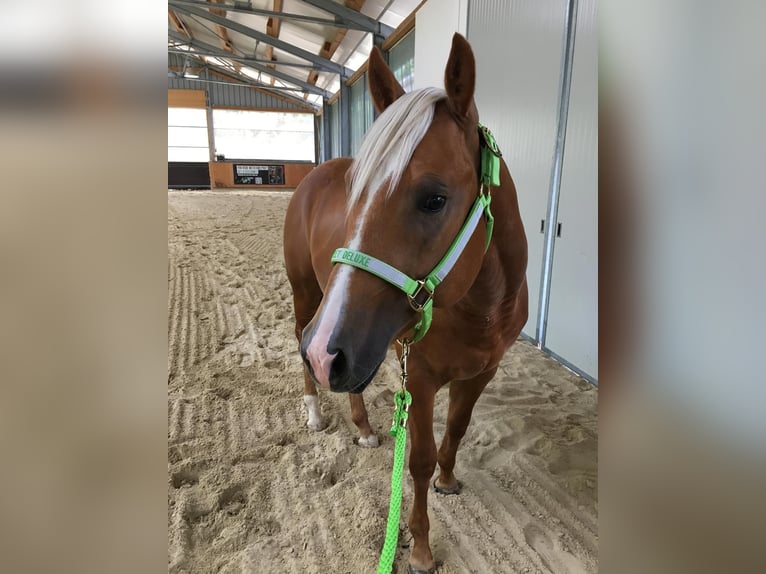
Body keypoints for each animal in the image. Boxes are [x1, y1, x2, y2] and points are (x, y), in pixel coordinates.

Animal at [284, 33, 532, 572]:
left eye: (434, 199)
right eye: (355, 196)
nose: (324, 353)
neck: (481, 308)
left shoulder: (482, 372)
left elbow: (455, 432)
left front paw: (448, 480)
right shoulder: (417, 376)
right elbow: (416, 460)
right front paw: (419, 546)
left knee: (346, 378)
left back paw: (362, 427)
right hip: (311, 301)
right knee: (301, 343)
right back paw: (314, 414)